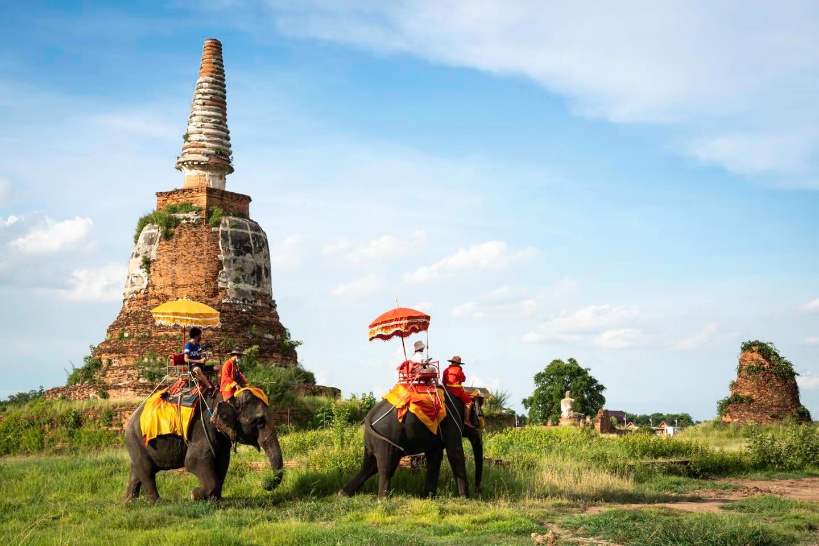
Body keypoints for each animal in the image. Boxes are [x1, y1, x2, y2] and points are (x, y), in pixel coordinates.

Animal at [124, 386, 286, 502]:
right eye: (259, 421)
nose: (264, 482)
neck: (226, 397)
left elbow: (222, 462)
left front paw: (214, 501)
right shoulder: (202, 428)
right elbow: (194, 462)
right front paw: (194, 495)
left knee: (137, 470)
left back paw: (129, 502)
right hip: (135, 440)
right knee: (147, 470)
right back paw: (157, 503)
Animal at [338, 386, 484, 498]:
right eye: (480, 416)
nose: (478, 492)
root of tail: (369, 416)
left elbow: (435, 456)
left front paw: (428, 497)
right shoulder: (451, 422)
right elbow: (455, 454)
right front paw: (465, 498)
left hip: (372, 441)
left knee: (369, 466)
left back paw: (343, 494)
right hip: (387, 440)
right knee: (387, 466)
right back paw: (383, 499)